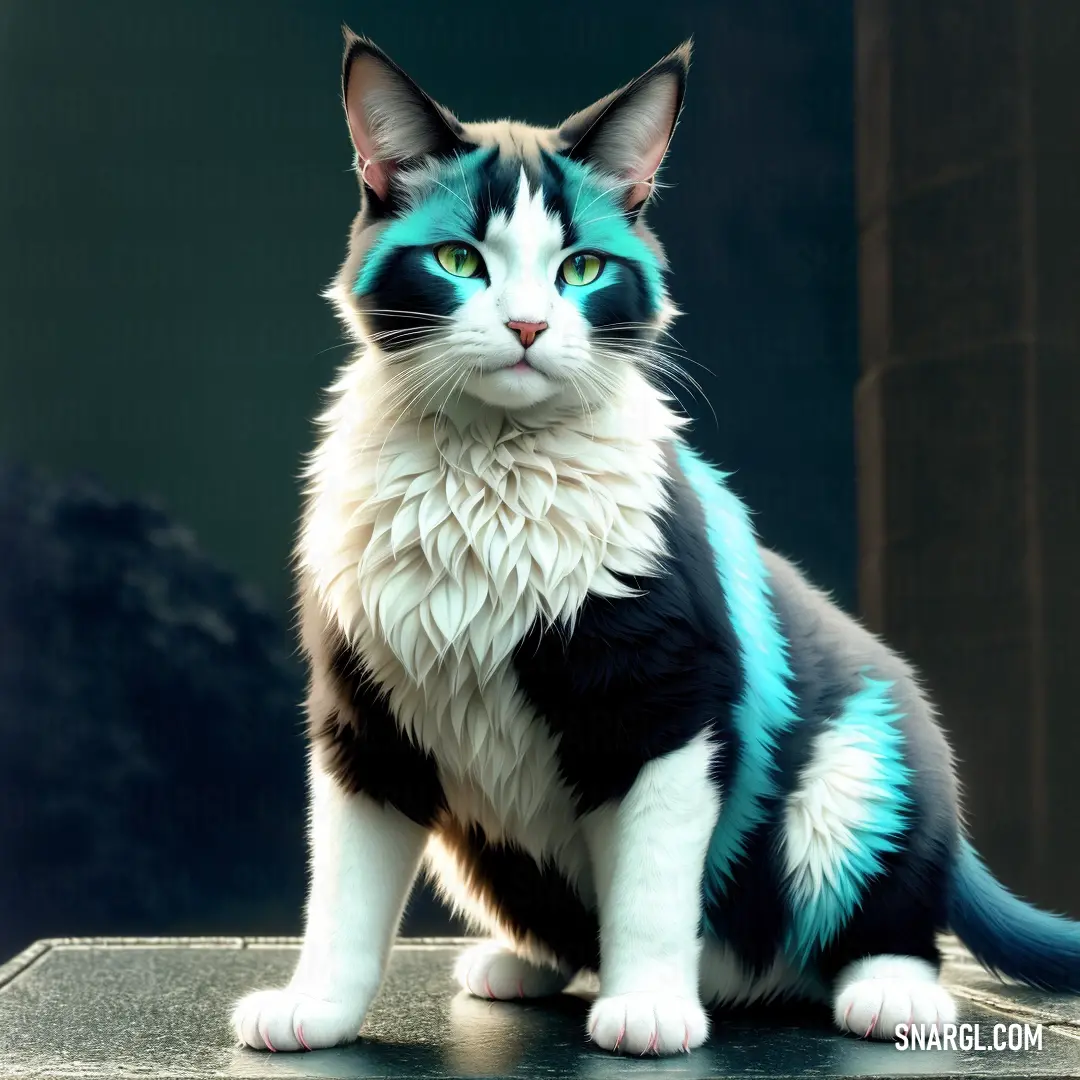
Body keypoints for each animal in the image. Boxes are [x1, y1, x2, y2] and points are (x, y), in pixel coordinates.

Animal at [230, 33, 1080, 1054]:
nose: (527, 324)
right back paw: (518, 965)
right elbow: (344, 898)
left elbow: (648, 887)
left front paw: (648, 1009)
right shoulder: (363, 720)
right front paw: (315, 1008)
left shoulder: (670, 701)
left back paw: (885, 991)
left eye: (583, 269)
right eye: (459, 260)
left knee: (892, 917)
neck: (491, 476)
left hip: (860, 766)